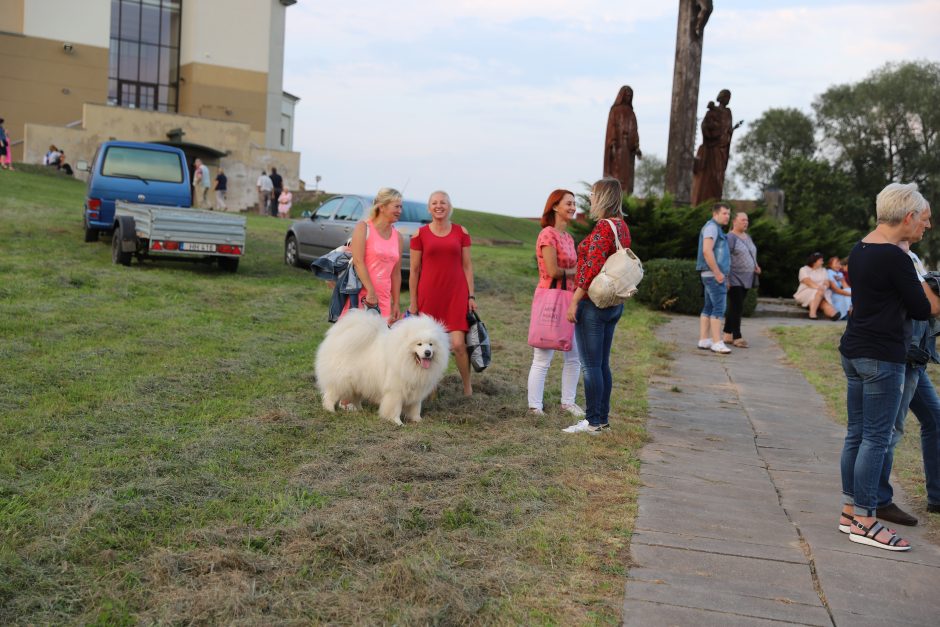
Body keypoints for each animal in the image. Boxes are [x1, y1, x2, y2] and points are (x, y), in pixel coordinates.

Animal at [314, 310, 450, 426]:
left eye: (431, 344)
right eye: (419, 344)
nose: (427, 352)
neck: (407, 361)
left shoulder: (416, 390)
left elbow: (415, 408)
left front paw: (417, 420)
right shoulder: (395, 391)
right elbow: (395, 408)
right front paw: (397, 422)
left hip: (358, 382)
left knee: (355, 396)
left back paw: (359, 410)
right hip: (341, 380)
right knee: (330, 394)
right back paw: (330, 410)